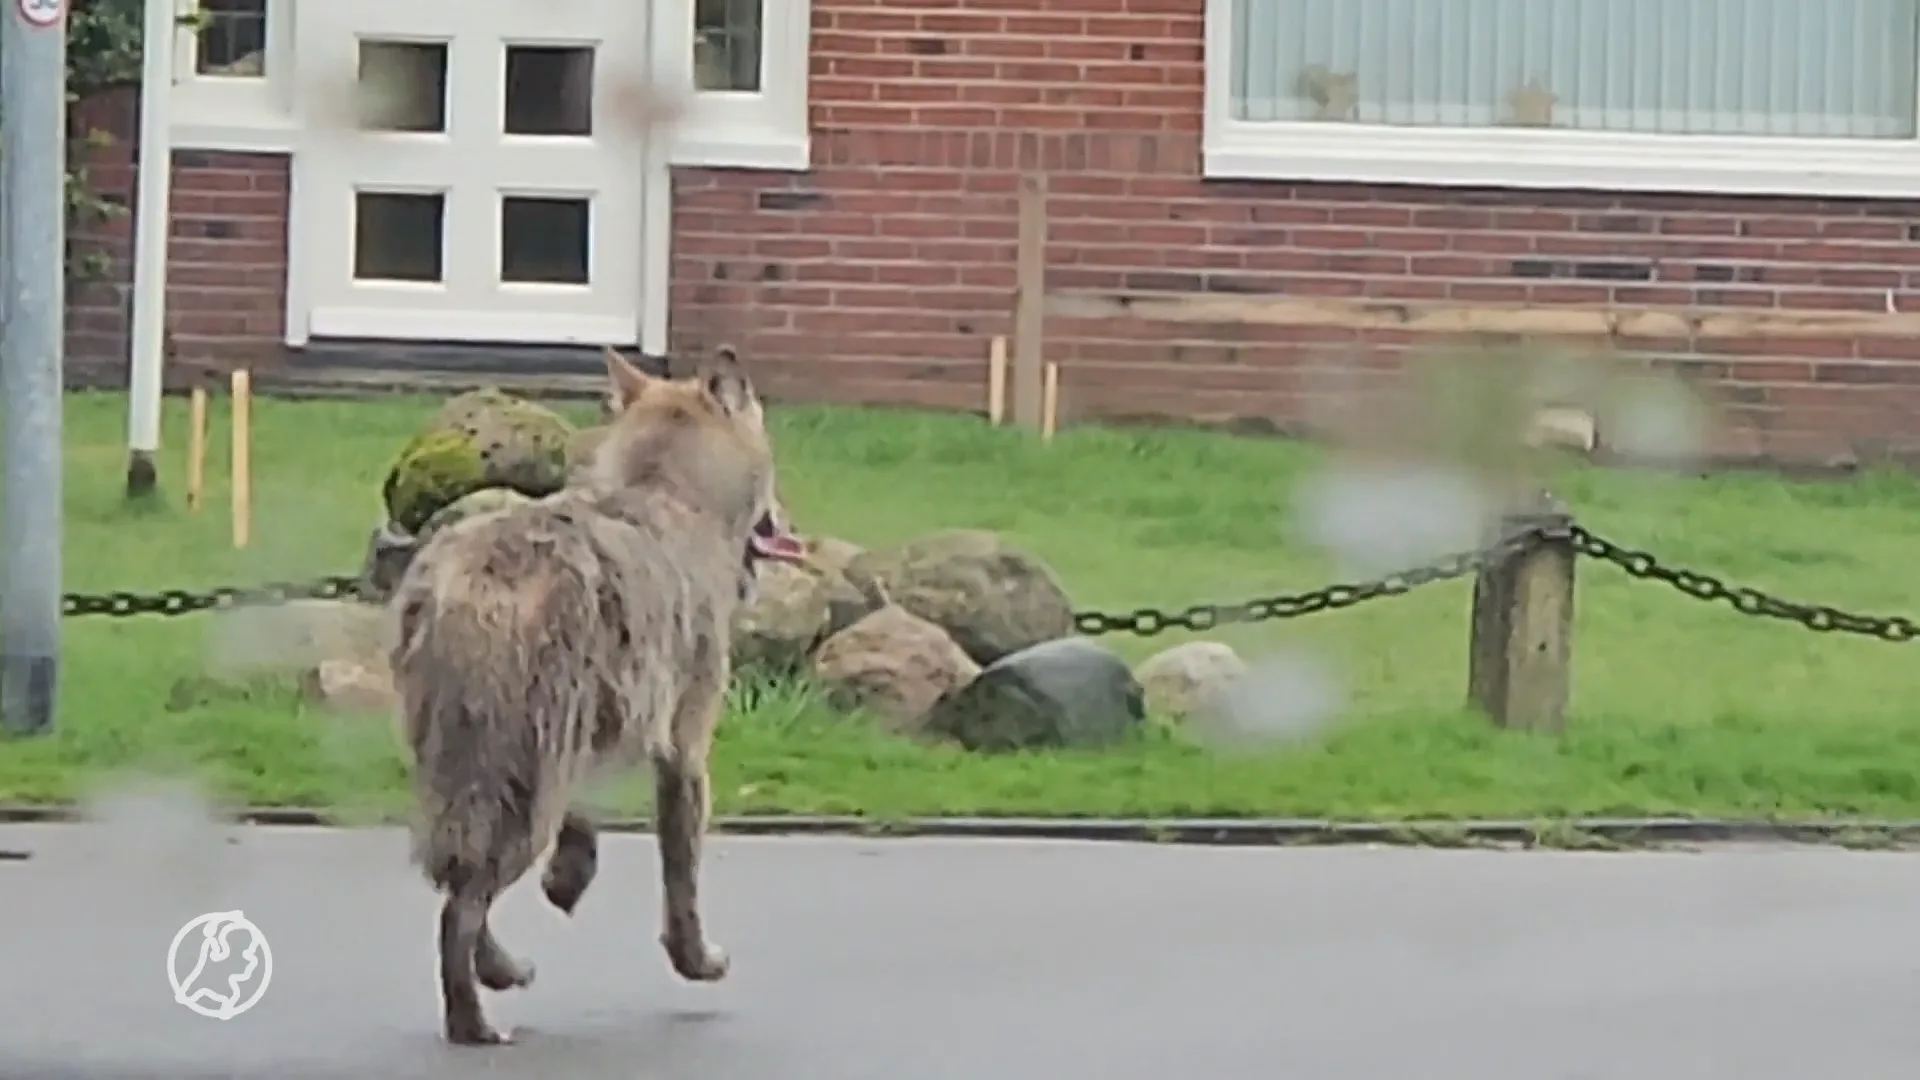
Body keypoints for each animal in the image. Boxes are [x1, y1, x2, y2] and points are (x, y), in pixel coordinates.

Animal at [389, 344, 806, 1046]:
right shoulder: (683, 750)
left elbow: (582, 822)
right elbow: (682, 878)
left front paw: (567, 878)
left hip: (477, 769)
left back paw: (500, 971)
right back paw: (474, 1021)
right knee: (461, 906)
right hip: (514, 783)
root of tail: (466, 587)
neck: (667, 490)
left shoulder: (586, 731)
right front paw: (699, 961)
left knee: (460, 883)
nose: (790, 522)